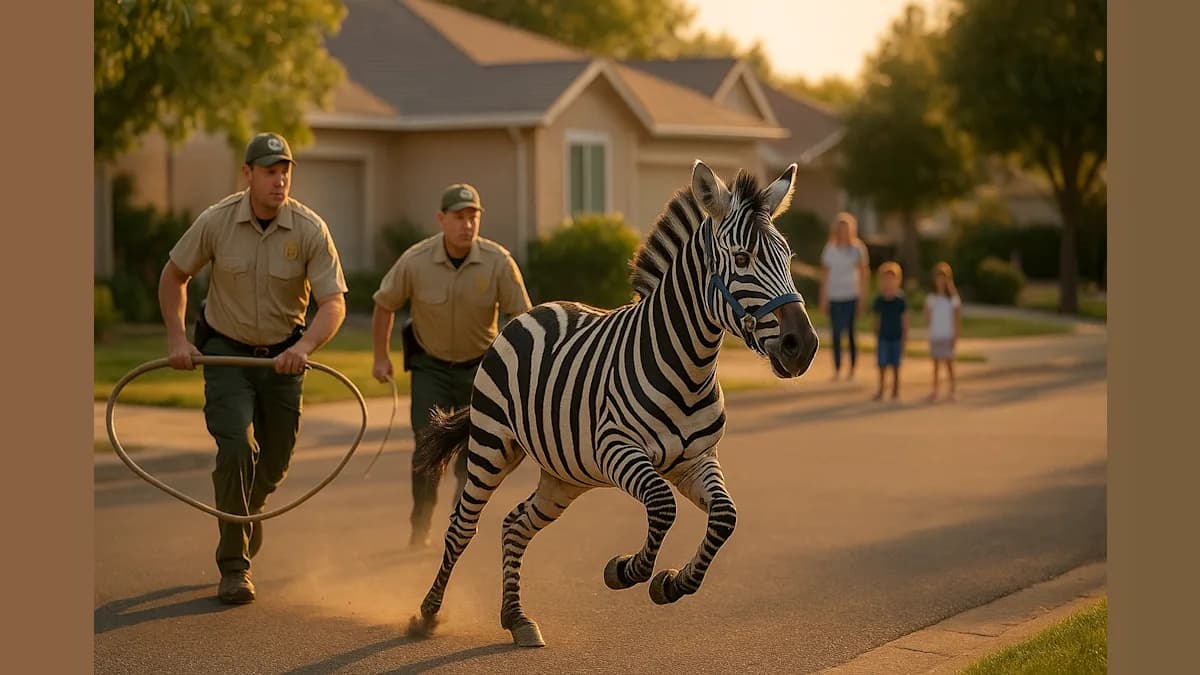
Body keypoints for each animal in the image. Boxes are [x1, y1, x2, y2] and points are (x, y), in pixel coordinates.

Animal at [408, 160, 819, 648]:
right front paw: (624, 571)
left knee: (515, 524)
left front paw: (672, 584)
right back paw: (428, 614)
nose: (804, 346)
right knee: (461, 527)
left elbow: (724, 517)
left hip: (564, 474)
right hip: (492, 444)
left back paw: (516, 618)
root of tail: (535, 309)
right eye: (742, 260)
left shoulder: (698, 459)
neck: (687, 367)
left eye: (788, 257)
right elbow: (662, 506)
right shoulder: (616, 448)